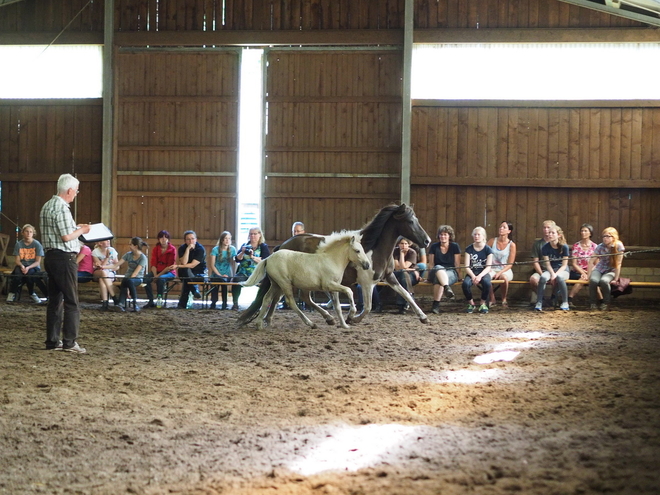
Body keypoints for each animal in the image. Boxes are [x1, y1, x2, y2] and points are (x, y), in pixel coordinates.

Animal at [238, 205, 434, 330]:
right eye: (410, 221)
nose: (427, 241)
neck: (375, 248)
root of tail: (282, 245)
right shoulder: (366, 282)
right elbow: (368, 307)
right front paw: (352, 318)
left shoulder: (389, 277)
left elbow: (406, 294)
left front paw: (423, 317)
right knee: (292, 298)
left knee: (285, 297)